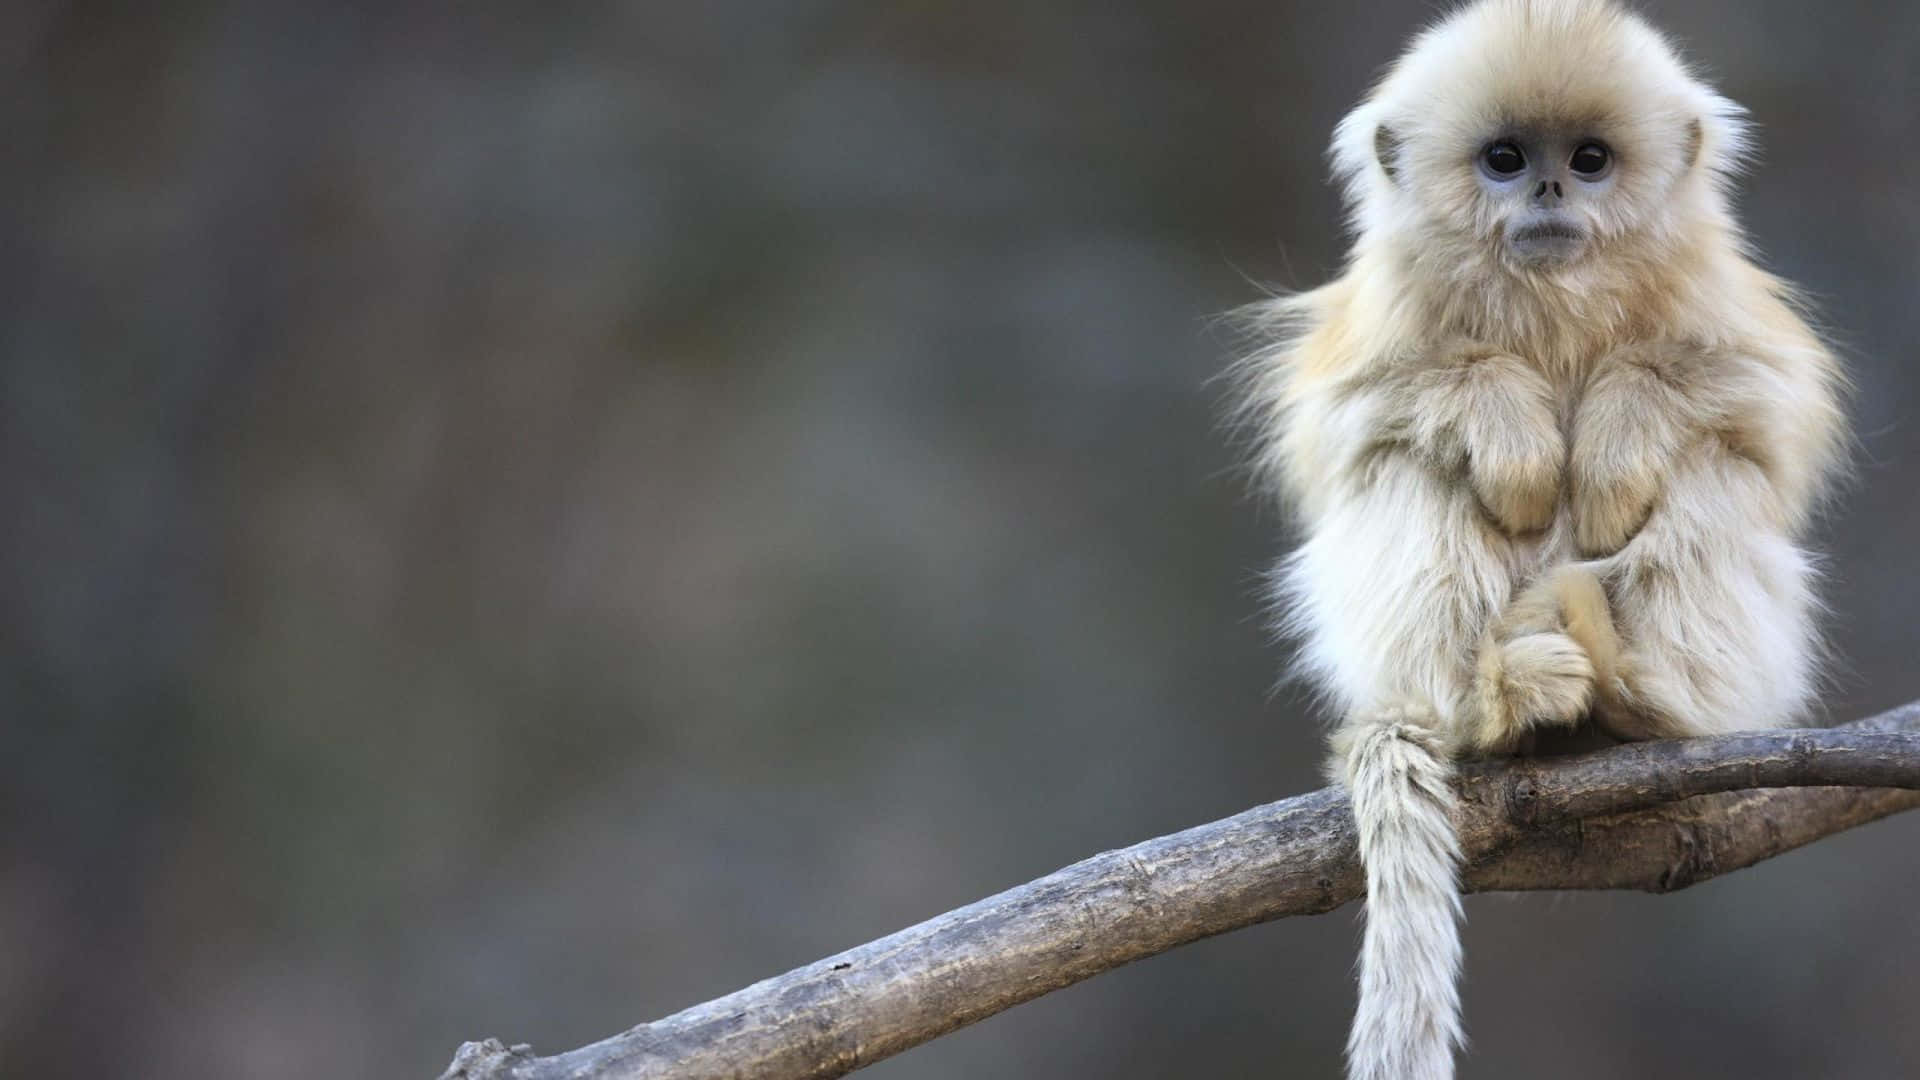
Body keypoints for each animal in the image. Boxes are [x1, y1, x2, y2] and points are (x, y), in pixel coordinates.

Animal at [1233, 2, 1848, 1077]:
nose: (1553, 188)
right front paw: (1514, 434)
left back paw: (1648, 703)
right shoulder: (1378, 322)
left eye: (1590, 159)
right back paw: (1496, 705)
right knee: (1408, 467)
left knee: (1714, 469)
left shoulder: (1722, 306)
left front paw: (1611, 444)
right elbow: (1354, 420)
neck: (1554, 299)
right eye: (1506, 159)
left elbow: (1761, 405)